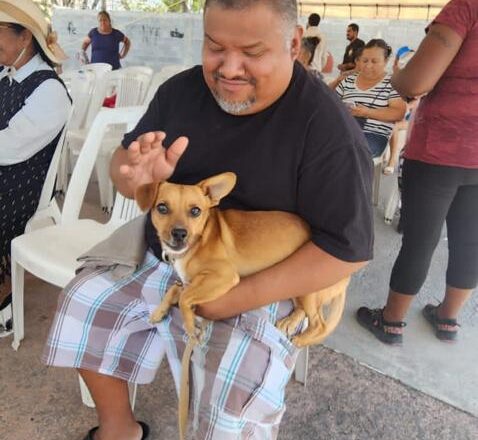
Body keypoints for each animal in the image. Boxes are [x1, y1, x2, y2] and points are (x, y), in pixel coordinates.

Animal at [136, 172, 350, 348]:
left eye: (195, 211)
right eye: (162, 208)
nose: (180, 233)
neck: (197, 243)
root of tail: (347, 279)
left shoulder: (223, 276)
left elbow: (184, 298)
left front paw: (191, 328)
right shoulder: (190, 282)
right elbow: (174, 290)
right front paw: (159, 311)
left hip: (307, 284)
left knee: (319, 324)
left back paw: (301, 339)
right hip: (298, 287)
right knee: (303, 310)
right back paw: (290, 321)